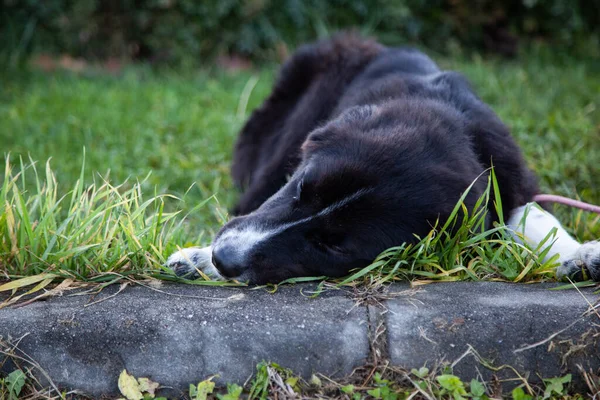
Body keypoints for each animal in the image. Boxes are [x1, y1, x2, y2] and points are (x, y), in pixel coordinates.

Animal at [168, 35, 600, 284]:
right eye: (301, 187)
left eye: (333, 246)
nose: (224, 258)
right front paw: (197, 257)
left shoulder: (510, 175)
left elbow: (533, 215)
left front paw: (580, 254)